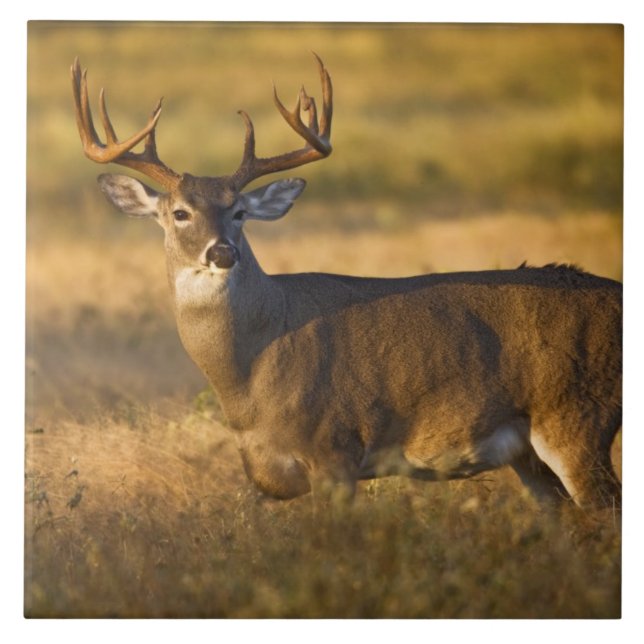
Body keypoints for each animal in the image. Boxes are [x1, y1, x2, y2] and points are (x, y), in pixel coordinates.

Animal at [70, 55, 622, 511]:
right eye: (179, 212)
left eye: (240, 211)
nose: (222, 252)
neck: (252, 371)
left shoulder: (333, 448)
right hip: (529, 453)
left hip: (578, 415)